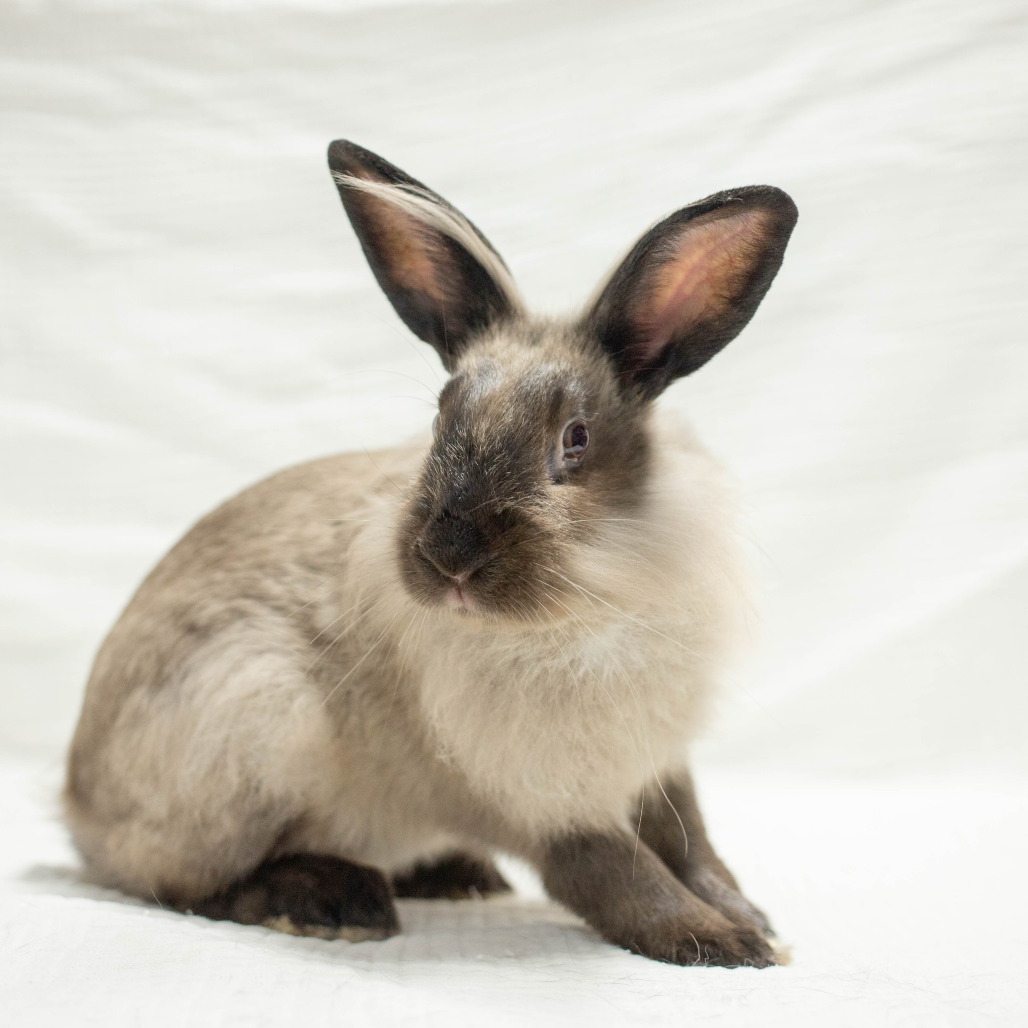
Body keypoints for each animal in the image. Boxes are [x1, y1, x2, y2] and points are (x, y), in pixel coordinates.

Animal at [64, 140, 797, 967]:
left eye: (574, 440)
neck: (588, 605)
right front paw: (717, 942)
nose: (450, 557)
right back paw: (332, 903)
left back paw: (458, 878)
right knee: (185, 887)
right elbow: (611, 869)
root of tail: (77, 808)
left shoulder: (658, 764)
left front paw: (755, 922)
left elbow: (693, 843)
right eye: (443, 415)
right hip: (255, 716)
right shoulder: (539, 797)